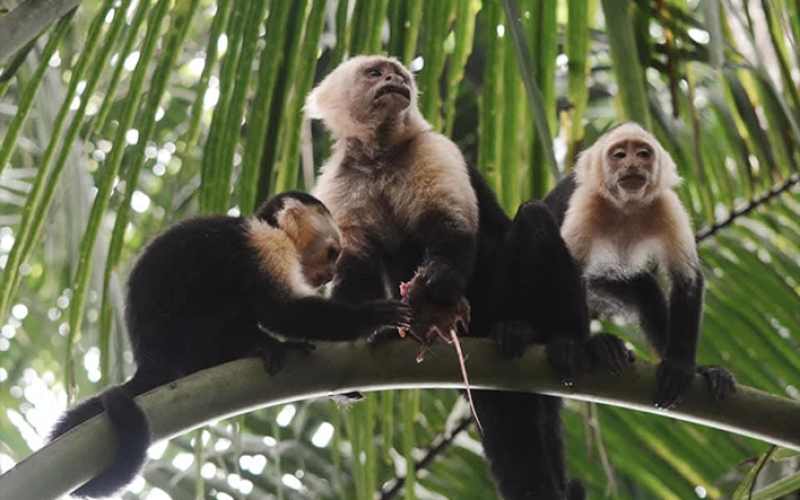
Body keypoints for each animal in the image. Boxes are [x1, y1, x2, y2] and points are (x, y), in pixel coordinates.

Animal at [49, 191, 411, 498]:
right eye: (332, 253)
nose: (329, 274)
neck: (271, 228)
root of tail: (149, 361)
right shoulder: (265, 245)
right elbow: (282, 310)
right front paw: (373, 316)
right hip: (192, 338)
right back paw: (255, 345)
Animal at [307, 55, 632, 500]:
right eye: (375, 73)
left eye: (398, 75)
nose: (394, 80)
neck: (379, 153)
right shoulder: (342, 179)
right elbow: (355, 266)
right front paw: (364, 327)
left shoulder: (432, 148)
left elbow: (452, 227)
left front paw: (439, 282)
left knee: (534, 219)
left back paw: (561, 337)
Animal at [544, 122, 736, 409]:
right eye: (620, 155)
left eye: (643, 154)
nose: (633, 165)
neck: (626, 207)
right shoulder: (586, 203)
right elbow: (569, 269)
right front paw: (573, 343)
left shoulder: (667, 206)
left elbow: (687, 278)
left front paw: (681, 366)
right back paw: (593, 345)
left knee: (646, 292)